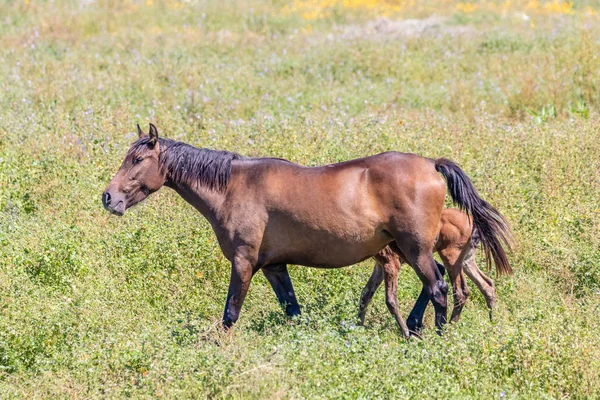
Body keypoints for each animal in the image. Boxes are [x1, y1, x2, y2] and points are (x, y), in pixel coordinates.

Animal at [358, 208, 504, 330]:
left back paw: (450, 329)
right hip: (467, 261)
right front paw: (358, 327)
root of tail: (473, 222)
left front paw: (407, 333)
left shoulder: (391, 263)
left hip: (451, 258)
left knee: (461, 292)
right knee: (487, 285)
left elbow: (390, 300)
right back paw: (494, 323)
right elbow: (366, 294)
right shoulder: (380, 266)